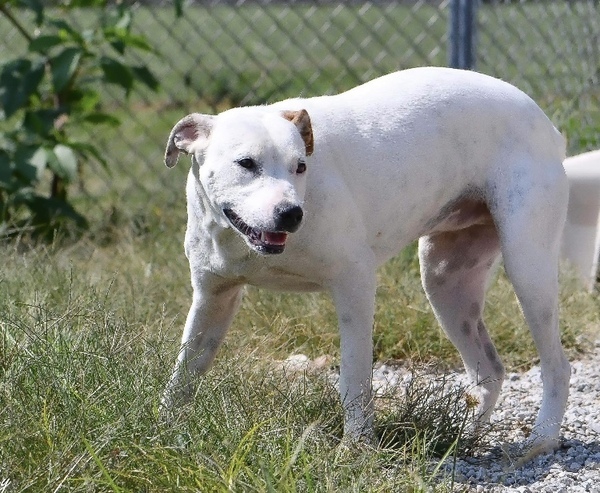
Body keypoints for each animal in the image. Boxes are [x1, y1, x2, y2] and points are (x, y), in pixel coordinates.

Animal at [162, 67, 568, 460]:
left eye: (300, 166)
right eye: (246, 163)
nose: (291, 214)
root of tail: (544, 121)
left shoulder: (354, 285)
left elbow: (354, 378)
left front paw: (356, 447)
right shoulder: (213, 298)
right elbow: (184, 372)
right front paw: (164, 431)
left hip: (528, 271)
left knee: (556, 367)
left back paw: (540, 440)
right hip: (446, 284)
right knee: (491, 372)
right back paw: (464, 440)